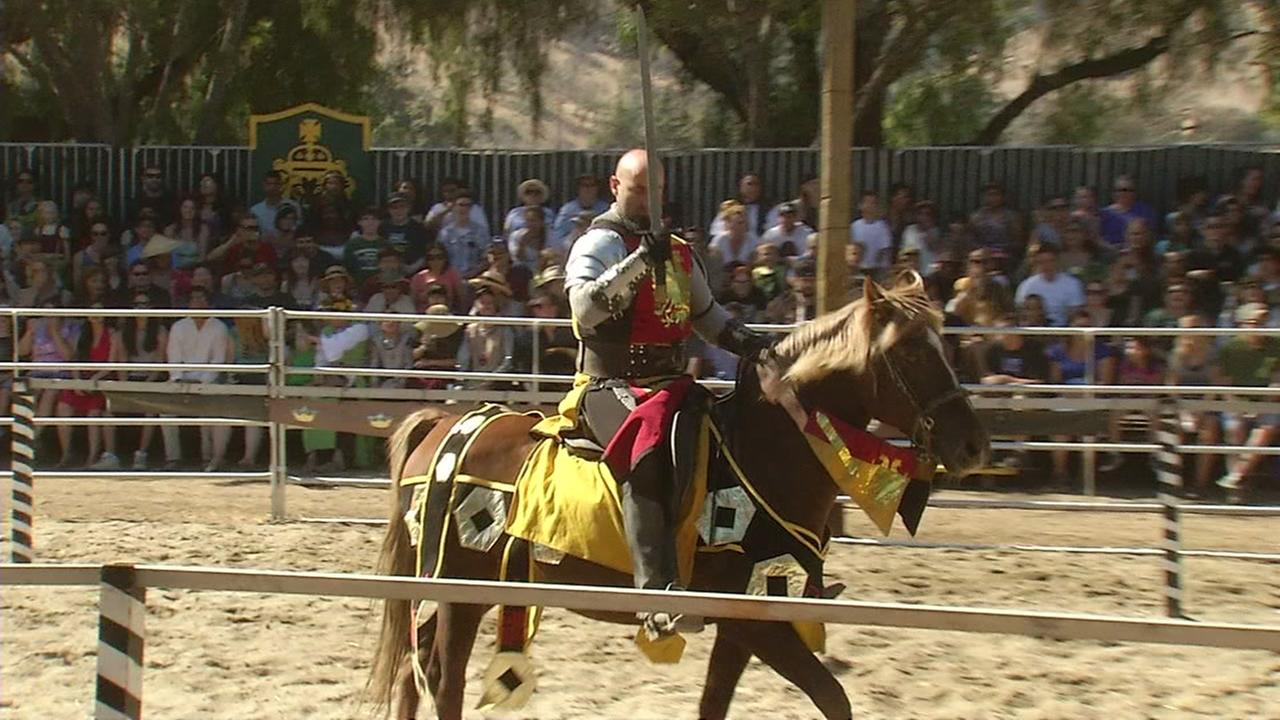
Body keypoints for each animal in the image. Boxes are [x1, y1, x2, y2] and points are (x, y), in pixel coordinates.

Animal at [366, 270, 993, 717]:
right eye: (909, 351)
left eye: (942, 344)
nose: (973, 445)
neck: (764, 449)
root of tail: (445, 427)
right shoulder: (755, 620)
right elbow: (832, 699)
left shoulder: (745, 625)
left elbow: (718, 704)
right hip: (459, 591)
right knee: (441, 681)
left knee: (413, 672)